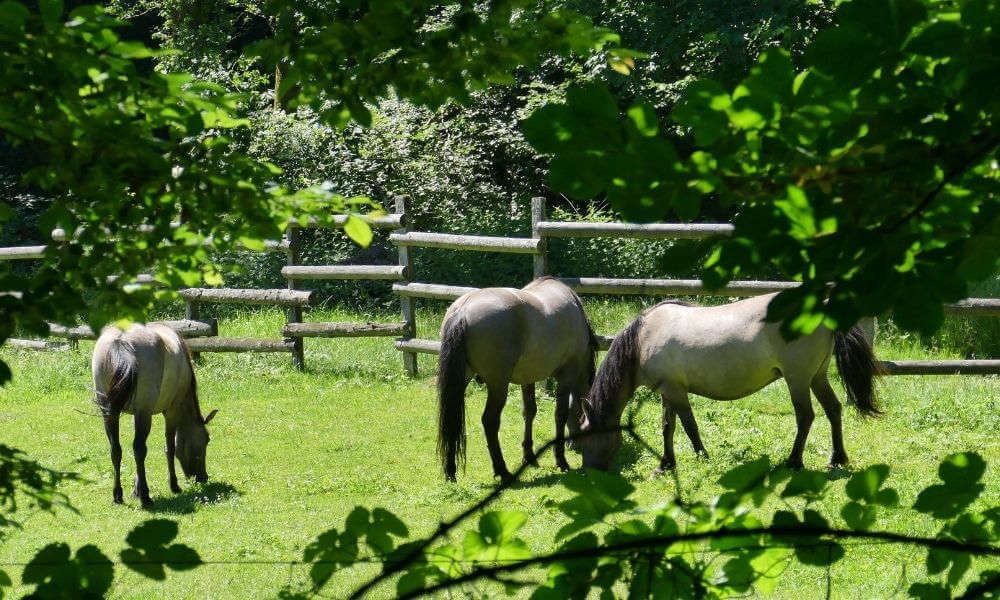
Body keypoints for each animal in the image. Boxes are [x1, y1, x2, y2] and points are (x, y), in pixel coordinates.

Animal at [92, 324, 217, 506]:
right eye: (206, 440)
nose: (203, 477)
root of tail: (121, 340)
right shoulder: (171, 412)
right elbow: (170, 448)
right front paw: (173, 485)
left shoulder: (134, 414)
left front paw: (135, 489)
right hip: (144, 412)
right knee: (139, 449)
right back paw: (146, 497)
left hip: (109, 412)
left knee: (116, 450)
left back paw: (118, 495)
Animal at [436, 278, 592, 482]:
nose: (577, 447)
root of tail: (462, 311)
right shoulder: (567, 377)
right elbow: (560, 414)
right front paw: (561, 460)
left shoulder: (528, 379)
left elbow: (529, 412)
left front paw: (529, 456)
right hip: (498, 386)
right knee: (490, 421)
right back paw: (503, 471)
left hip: (461, 381)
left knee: (452, 419)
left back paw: (450, 470)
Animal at [580, 294, 884, 474]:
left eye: (584, 439)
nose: (587, 472)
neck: (644, 338)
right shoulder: (667, 392)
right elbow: (668, 427)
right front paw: (665, 464)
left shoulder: (676, 391)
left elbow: (689, 426)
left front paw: (702, 457)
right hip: (817, 377)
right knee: (833, 410)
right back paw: (837, 459)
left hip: (797, 379)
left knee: (805, 417)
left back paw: (793, 462)